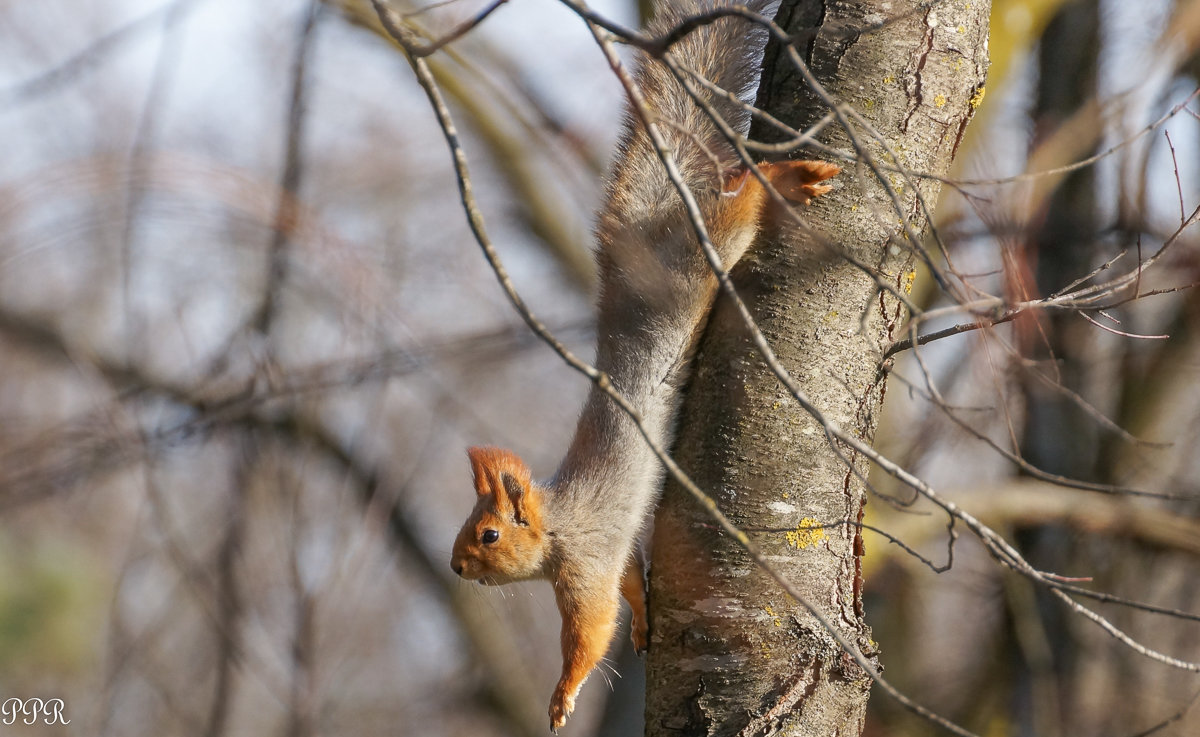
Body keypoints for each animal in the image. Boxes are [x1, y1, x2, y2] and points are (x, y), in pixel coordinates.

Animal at [448, 0, 835, 729]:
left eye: (486, 533)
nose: (455, 567)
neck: (558, 522)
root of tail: (638, 249)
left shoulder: (585, 561)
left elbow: (590, 629)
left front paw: (563, 695)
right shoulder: (618, 550)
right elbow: (629, 586)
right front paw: (644, 622)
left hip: (702, 256)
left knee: (741, 200)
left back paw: (790, 177)